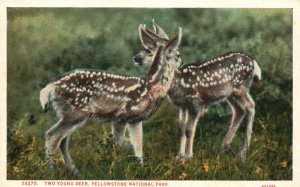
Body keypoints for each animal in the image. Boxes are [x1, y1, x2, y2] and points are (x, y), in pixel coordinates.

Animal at [38, 25, 182, 175]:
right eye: (178, 54)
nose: (181, 62)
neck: (150, 86)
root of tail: (50, 87)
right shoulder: (121, 115)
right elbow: (119, 145)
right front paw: (117, 169)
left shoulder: (135, 120)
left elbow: (138, 146)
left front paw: (140, 170)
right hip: (75, 111)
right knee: (52, 136)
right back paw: (50, 171)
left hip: (69, 113)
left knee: (62, 141)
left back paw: (75, 172)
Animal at [132, 21, 262, 162]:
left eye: (148, 50)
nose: (135, 58)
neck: (178, 82)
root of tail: (254, 63)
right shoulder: (183, 105)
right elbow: (181, 130)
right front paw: (179, 156)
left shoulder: (195, 101)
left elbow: (189, 130)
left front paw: (188, 157)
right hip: (231, 94)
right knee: (239, 110)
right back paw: (224, 148)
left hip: (240, 87)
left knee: (250, 106)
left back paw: (242, 154)